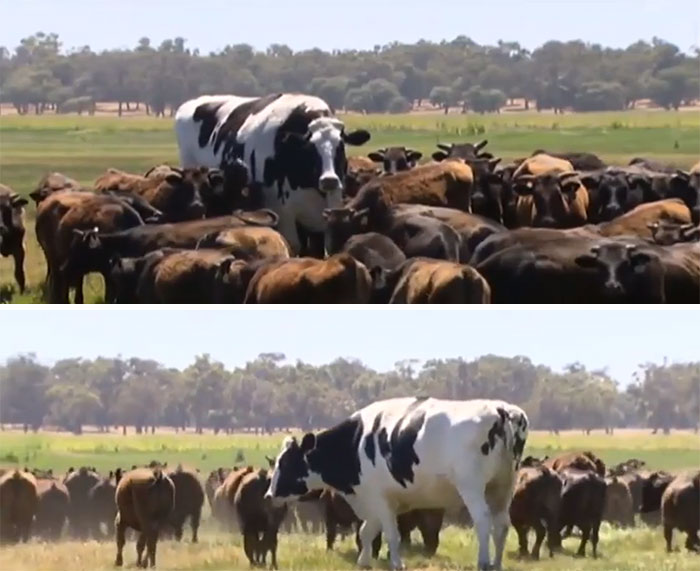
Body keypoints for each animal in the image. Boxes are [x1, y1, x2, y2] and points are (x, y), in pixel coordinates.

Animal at [175, 93, 371, 256]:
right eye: (310, 147)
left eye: (341, 146)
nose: (329, 180)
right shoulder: (283, 212)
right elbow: (293, 246)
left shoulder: (329, 210)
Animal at [264, 397, 529, 571]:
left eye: (286, 463)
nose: (268, 495)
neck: (356, 442)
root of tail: (501, 409)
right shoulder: (375, 499)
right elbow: (367, 531)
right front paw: (364, 561)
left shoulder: (380, 498)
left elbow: (390, 533)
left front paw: (396, 563)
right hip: (503, 487)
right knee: (502, 524)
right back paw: (496, 563)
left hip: (471, 487)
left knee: (483, 520)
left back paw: (483, 562)